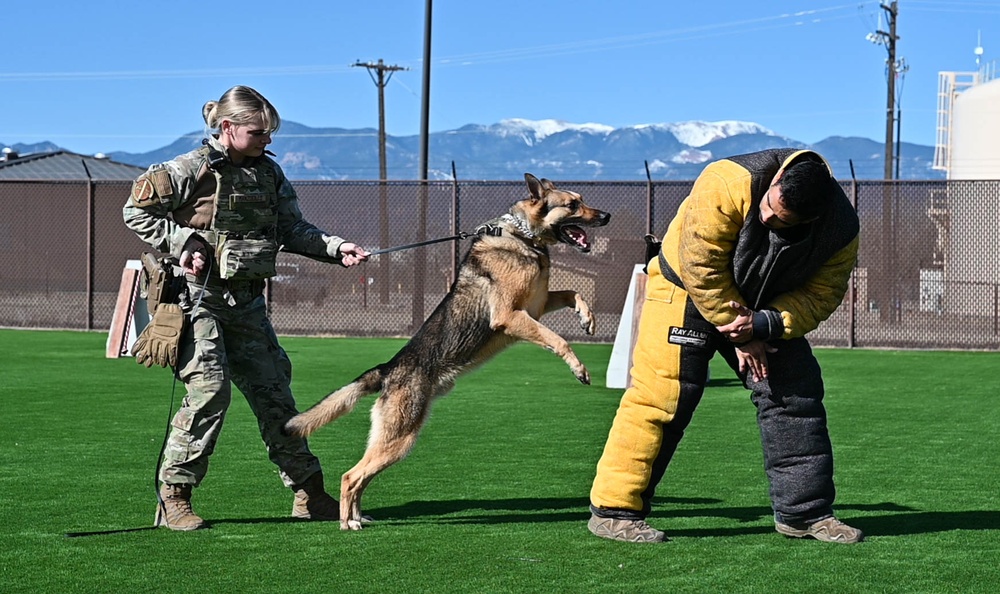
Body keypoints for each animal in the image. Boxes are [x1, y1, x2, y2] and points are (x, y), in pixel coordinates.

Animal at [282, 171, 608, 528]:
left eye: (582, 200)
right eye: (573, 205)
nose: (607, 216)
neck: (522, 236)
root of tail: (389, 368)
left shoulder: (536, 306)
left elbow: (574, 292)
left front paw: (587, 319)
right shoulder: (512, 316)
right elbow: (559, 340)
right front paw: (579, 369)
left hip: (394, 439)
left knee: (361, 478)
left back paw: (358, 517)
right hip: (400, 437)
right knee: (350, 476)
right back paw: (347, 522)